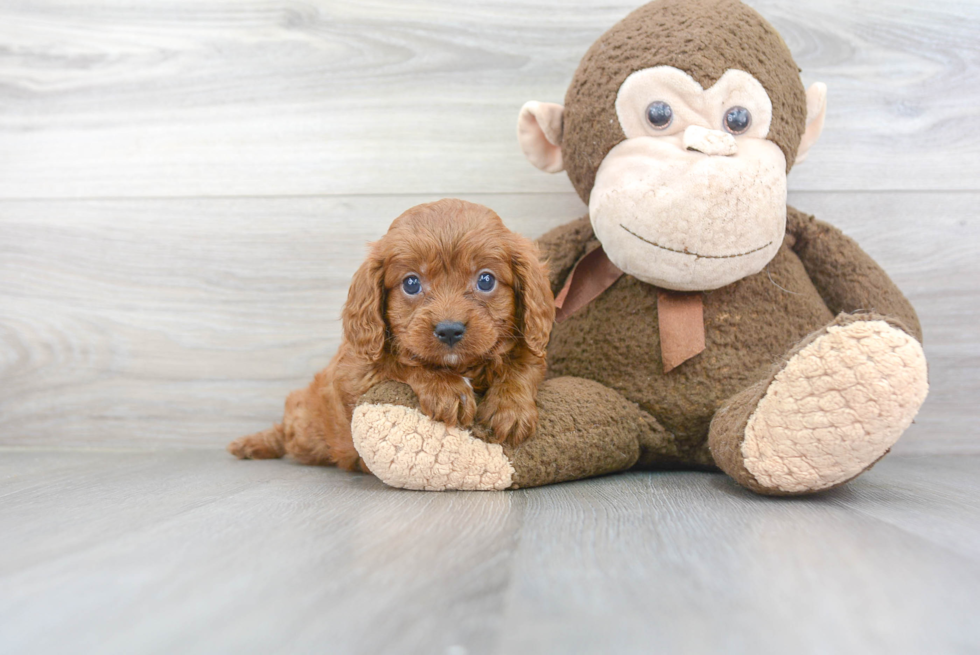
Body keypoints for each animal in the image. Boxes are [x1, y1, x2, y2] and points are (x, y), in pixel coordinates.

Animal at [225, 197, 556, 474]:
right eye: (411, 283)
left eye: (486, 280)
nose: (449, 329)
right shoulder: (354, 373)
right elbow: (399, 364)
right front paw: (446, 389)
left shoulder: (530, 345)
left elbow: (523, 364)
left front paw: (510, 408)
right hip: (308, 428)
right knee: (288, 431)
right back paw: (253, 444)